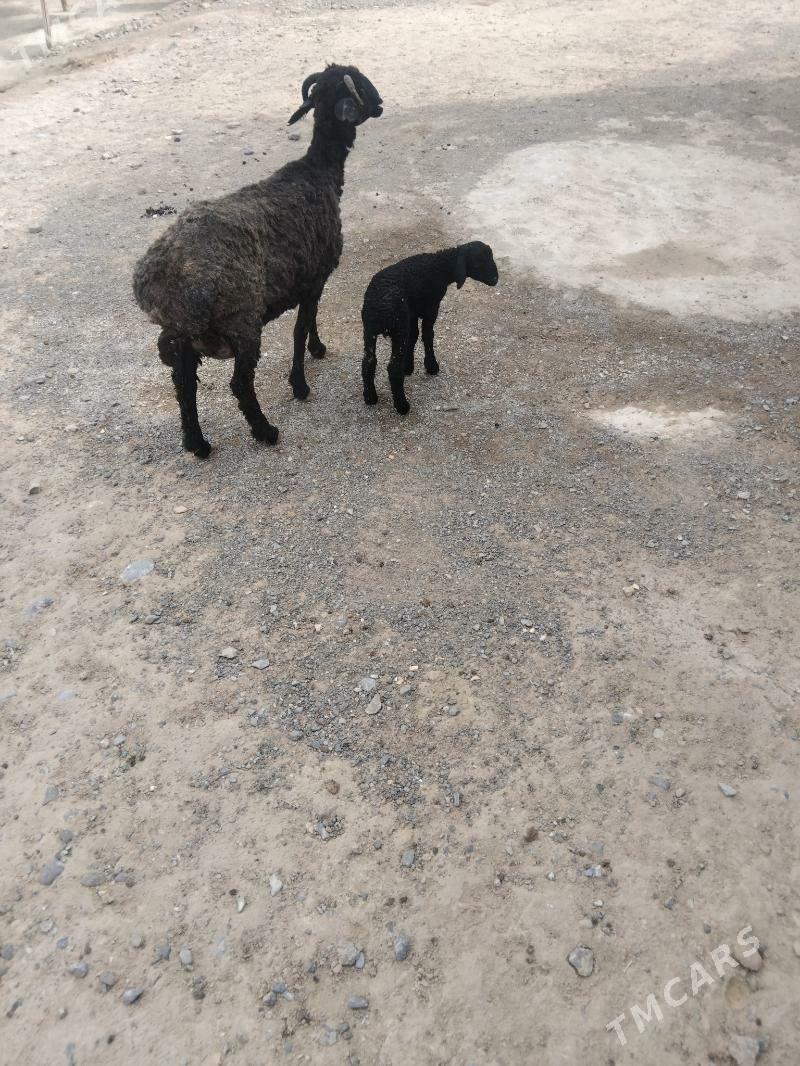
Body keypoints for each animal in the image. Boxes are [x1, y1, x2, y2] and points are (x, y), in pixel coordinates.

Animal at [133, 65, 383, 457]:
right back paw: (265, 431)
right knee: (239, 384)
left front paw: (317, 349)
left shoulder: (308, 282)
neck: (318, 171)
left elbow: (310, 320)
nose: (381, 104)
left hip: (189, 340)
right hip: (243, 321)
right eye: (357, 81)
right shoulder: (315, 277)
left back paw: (197, 443)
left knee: (183, 382)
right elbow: (299, 329)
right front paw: (300, 384)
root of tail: (163, 286)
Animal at [361, 242, 499, 415]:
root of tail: (380, 308)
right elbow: (427, 335)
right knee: (393, 368)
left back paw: (370, 397)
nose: (495, 279)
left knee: (368, 361)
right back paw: (402, 405)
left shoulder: (412, 312)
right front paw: (431, 366)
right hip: (398, 328)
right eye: (479, 262)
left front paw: (409, 367)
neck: (440, 266)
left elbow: (413, 336)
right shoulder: (431, 308)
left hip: (369, 330)